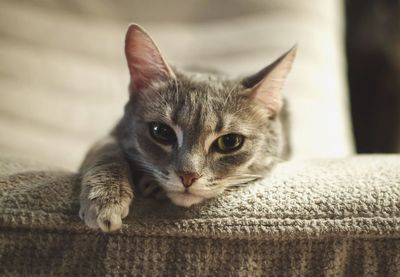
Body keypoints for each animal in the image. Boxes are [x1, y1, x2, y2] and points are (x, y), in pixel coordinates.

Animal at [79, 23, 296, 231]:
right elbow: (107, 151)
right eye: (162, 132)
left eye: (229, 141)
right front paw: (105, 198)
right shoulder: (111, 135)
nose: (188, 176)